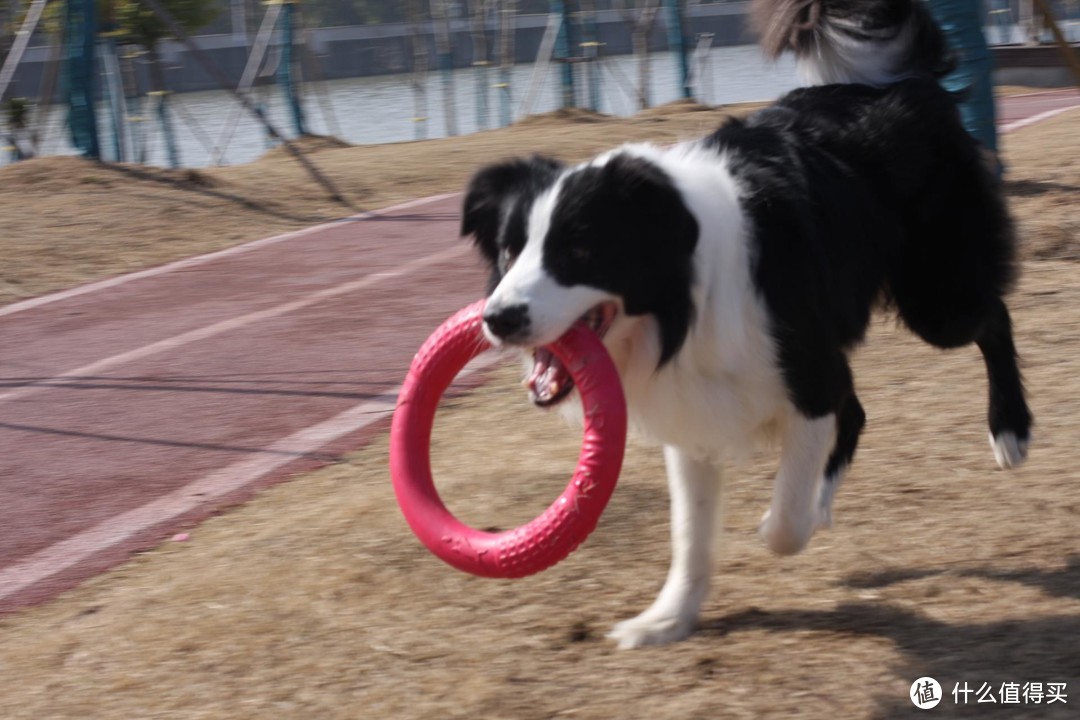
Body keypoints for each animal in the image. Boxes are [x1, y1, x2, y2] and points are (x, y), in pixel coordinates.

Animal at [455, 0, 1028, 651]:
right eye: (508, 251)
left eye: (578, 251)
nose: (498, 318)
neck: (682, 307)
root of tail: (888, 84)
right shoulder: (693, 406)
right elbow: (691, 532)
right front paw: (667, 618)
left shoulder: (804, 376)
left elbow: (784, 522)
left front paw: (786, 522)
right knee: (857, 410)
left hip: (937, 300)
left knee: (992, 318)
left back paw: (1009, 430)